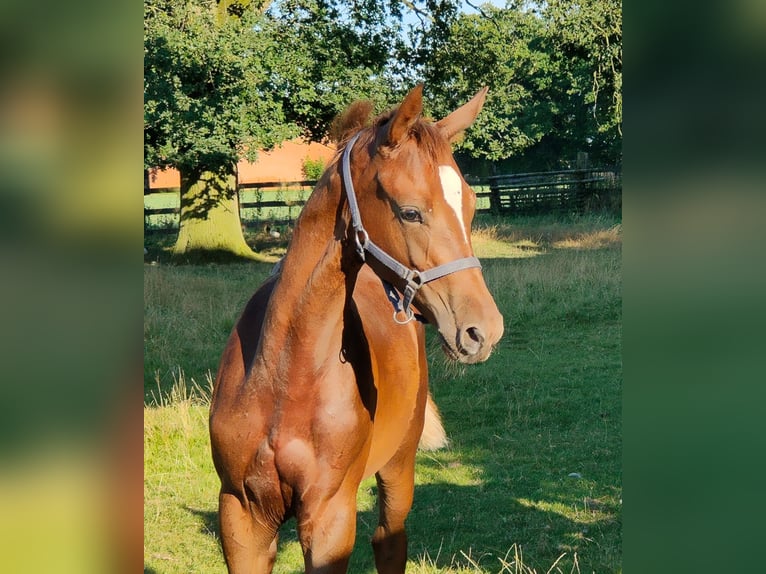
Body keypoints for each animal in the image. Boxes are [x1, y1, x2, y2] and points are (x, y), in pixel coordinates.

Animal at [210, 83, 508, 572]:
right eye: (411, 212)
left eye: (470, 208)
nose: (483, 330)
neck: (284, 374)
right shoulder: (241, 517)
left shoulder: (330, 517)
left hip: (399, 463)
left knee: (390, 538)